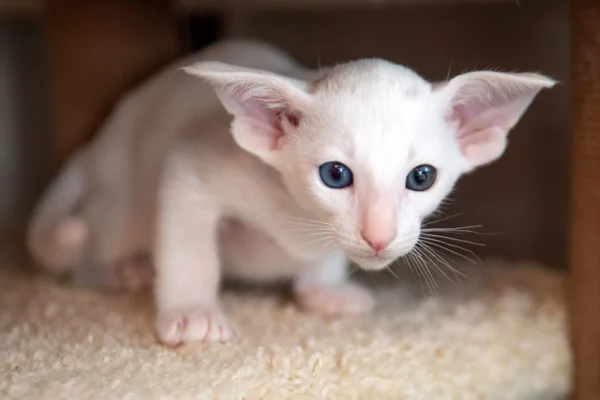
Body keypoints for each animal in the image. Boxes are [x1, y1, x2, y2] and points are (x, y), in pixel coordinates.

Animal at [25, 40, 556, 346]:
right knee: (89, 248)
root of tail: (100, 142)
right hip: (124, 201)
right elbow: (190, 249)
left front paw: (323, 290)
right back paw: (119, 270)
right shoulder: (191, 164)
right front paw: (192, 312)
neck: (298, 221)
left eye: (421, 177)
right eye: (336, 175)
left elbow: (325, 260)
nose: (379, 236)